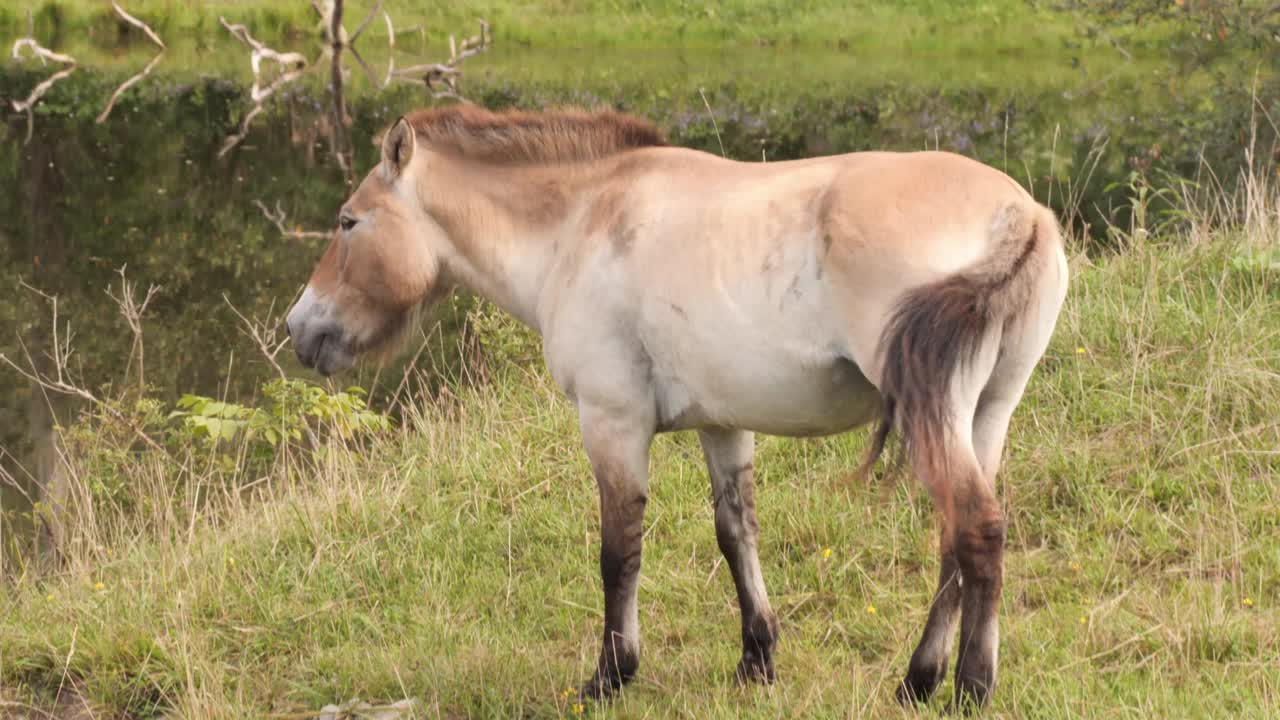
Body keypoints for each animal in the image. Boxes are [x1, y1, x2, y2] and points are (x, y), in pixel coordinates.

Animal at [285, 107, 1064, 707]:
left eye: (349, 222)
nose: (300, 329)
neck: (581, 221)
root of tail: (1018, 216)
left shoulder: (613, 423)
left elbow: (618, 552)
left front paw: (610, 676)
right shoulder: (723, 424)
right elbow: (736, 534)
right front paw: (756, 660)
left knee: (976, 531)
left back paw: (968, 687)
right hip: (985, 413)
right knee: (959, 540)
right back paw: (918, 682)